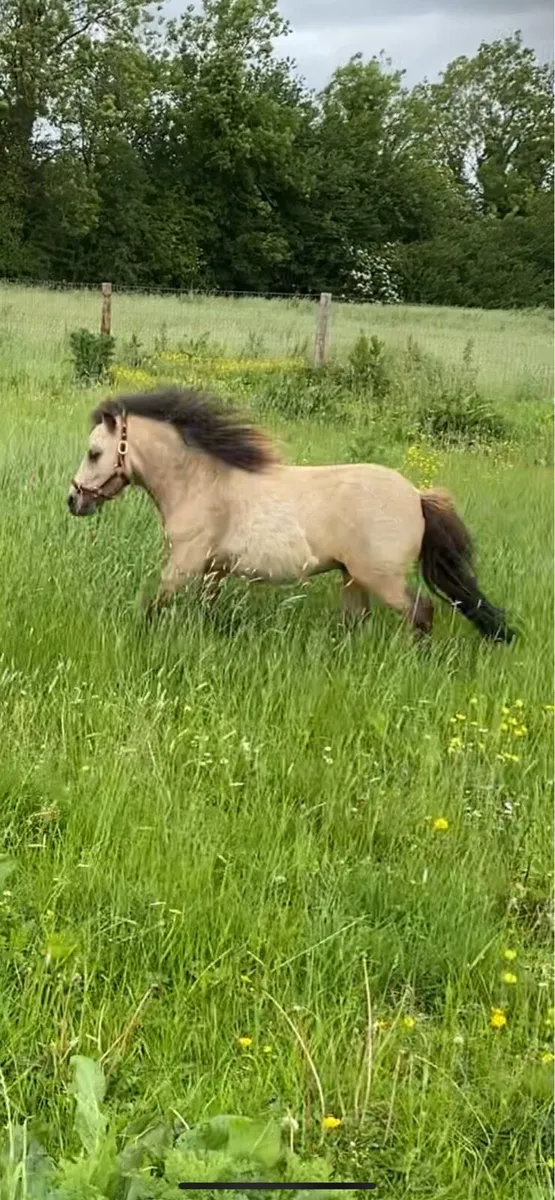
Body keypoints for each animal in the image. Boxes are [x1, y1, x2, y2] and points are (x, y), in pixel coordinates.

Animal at [67, 386, 515, 642]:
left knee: (421, 612)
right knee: (357, 622)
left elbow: (153, 606)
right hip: (352, 578)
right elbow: (206, 610)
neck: (201, 483)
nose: (73, 501)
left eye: (94, 453)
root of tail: (418, 496)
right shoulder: (213, 570)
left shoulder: (184, 562)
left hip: (381, 578)